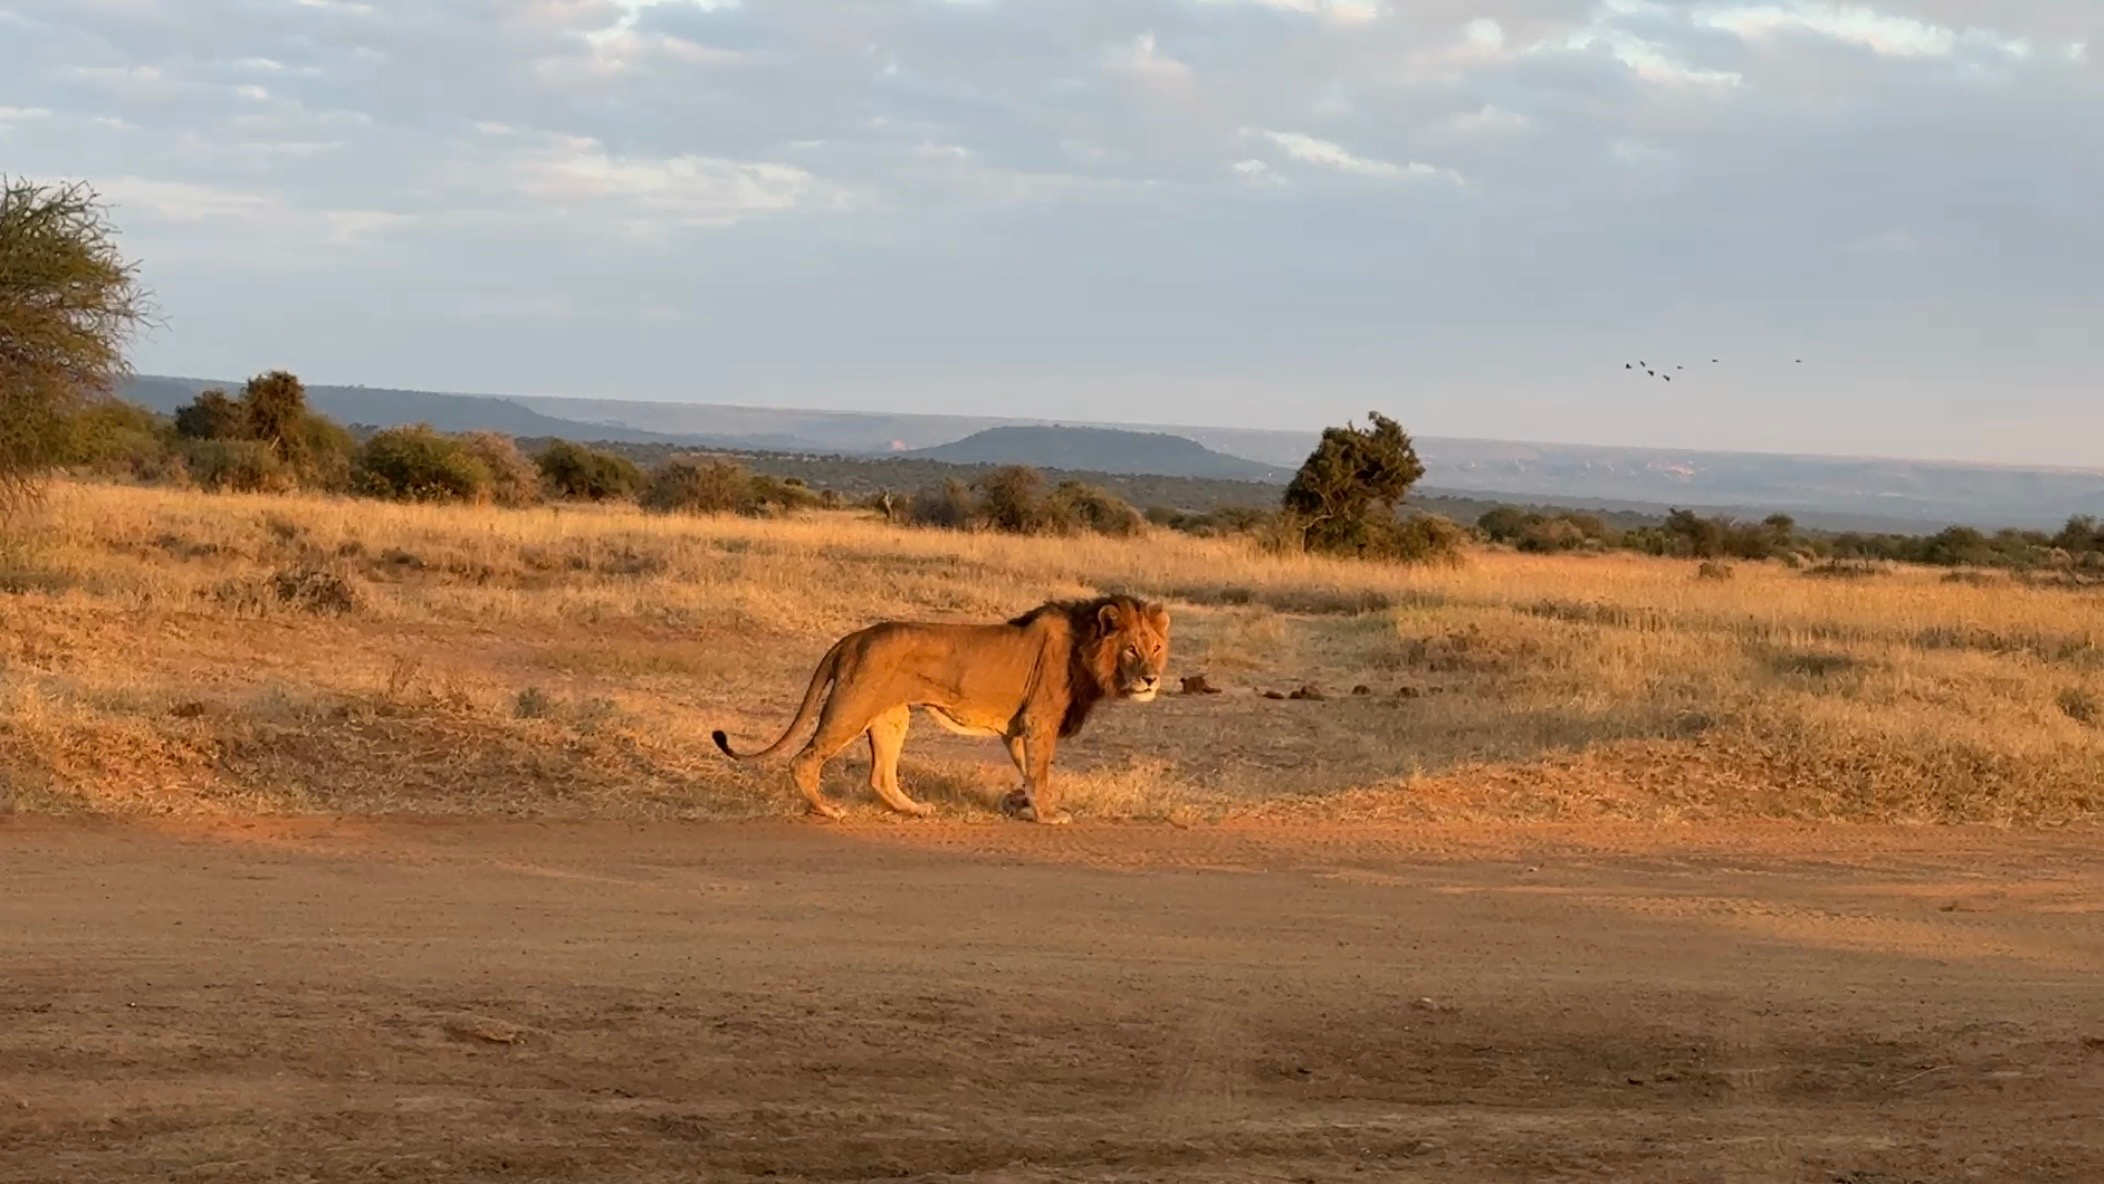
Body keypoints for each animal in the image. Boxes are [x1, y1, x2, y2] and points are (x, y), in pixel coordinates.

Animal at [712, 594, 1170, 823]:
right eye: (1132, 649)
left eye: (1156, 647)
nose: (1151, 679)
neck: (1086, 647)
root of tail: (853, 637)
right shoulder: (1039, 719)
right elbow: (1039, 771)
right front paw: (1047, 814)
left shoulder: (1018, 727)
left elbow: (1027, 770)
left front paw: (1017, 802)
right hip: (852, 709)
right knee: (805, 760)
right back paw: (827, 808)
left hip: (892, 717)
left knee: (880, 776)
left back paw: (913, 809)